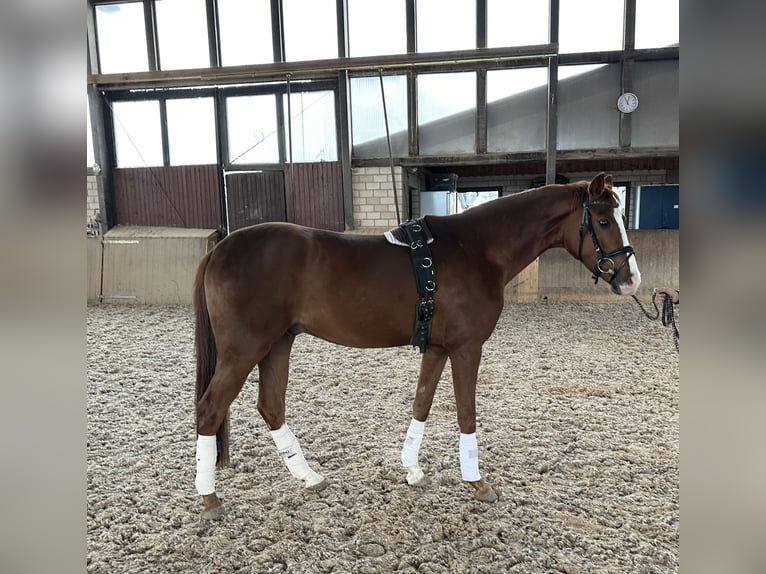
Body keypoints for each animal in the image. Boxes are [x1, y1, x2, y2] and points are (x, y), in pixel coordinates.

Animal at [192, 172, 640, 520]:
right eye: (603, 219)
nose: (632, 279)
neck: (477, 249)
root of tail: (221, 248)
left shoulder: (438, 348)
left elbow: (422, 403)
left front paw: (412, 470)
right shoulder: (466, 348)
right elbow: (465, 414)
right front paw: (478, 483)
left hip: (277, 344)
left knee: (270, 405)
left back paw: (310, 477)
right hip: (244, 350)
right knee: (210, 409)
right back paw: (209, 498)